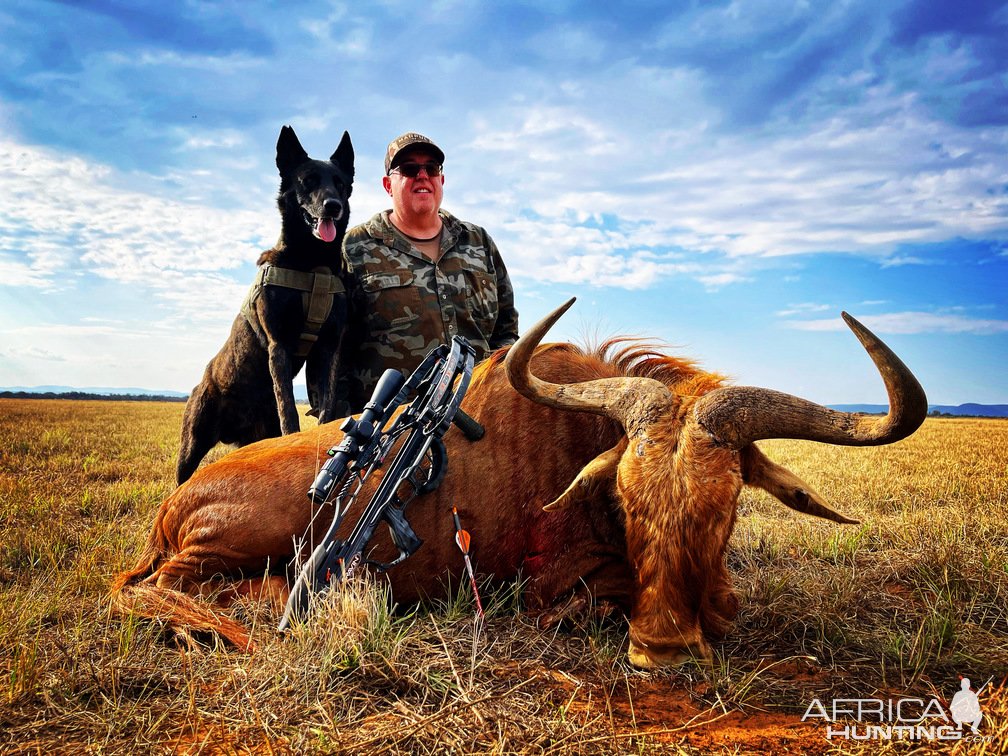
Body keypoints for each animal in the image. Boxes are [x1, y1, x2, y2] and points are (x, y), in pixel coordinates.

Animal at [177, 126, 354, 485]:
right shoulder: (278, 345)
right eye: (308, 180)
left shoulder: (328, 348)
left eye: (340, 183)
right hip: (191, 443)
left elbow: (327, 403)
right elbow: (288, 408)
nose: (333, 206)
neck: (312, 263)